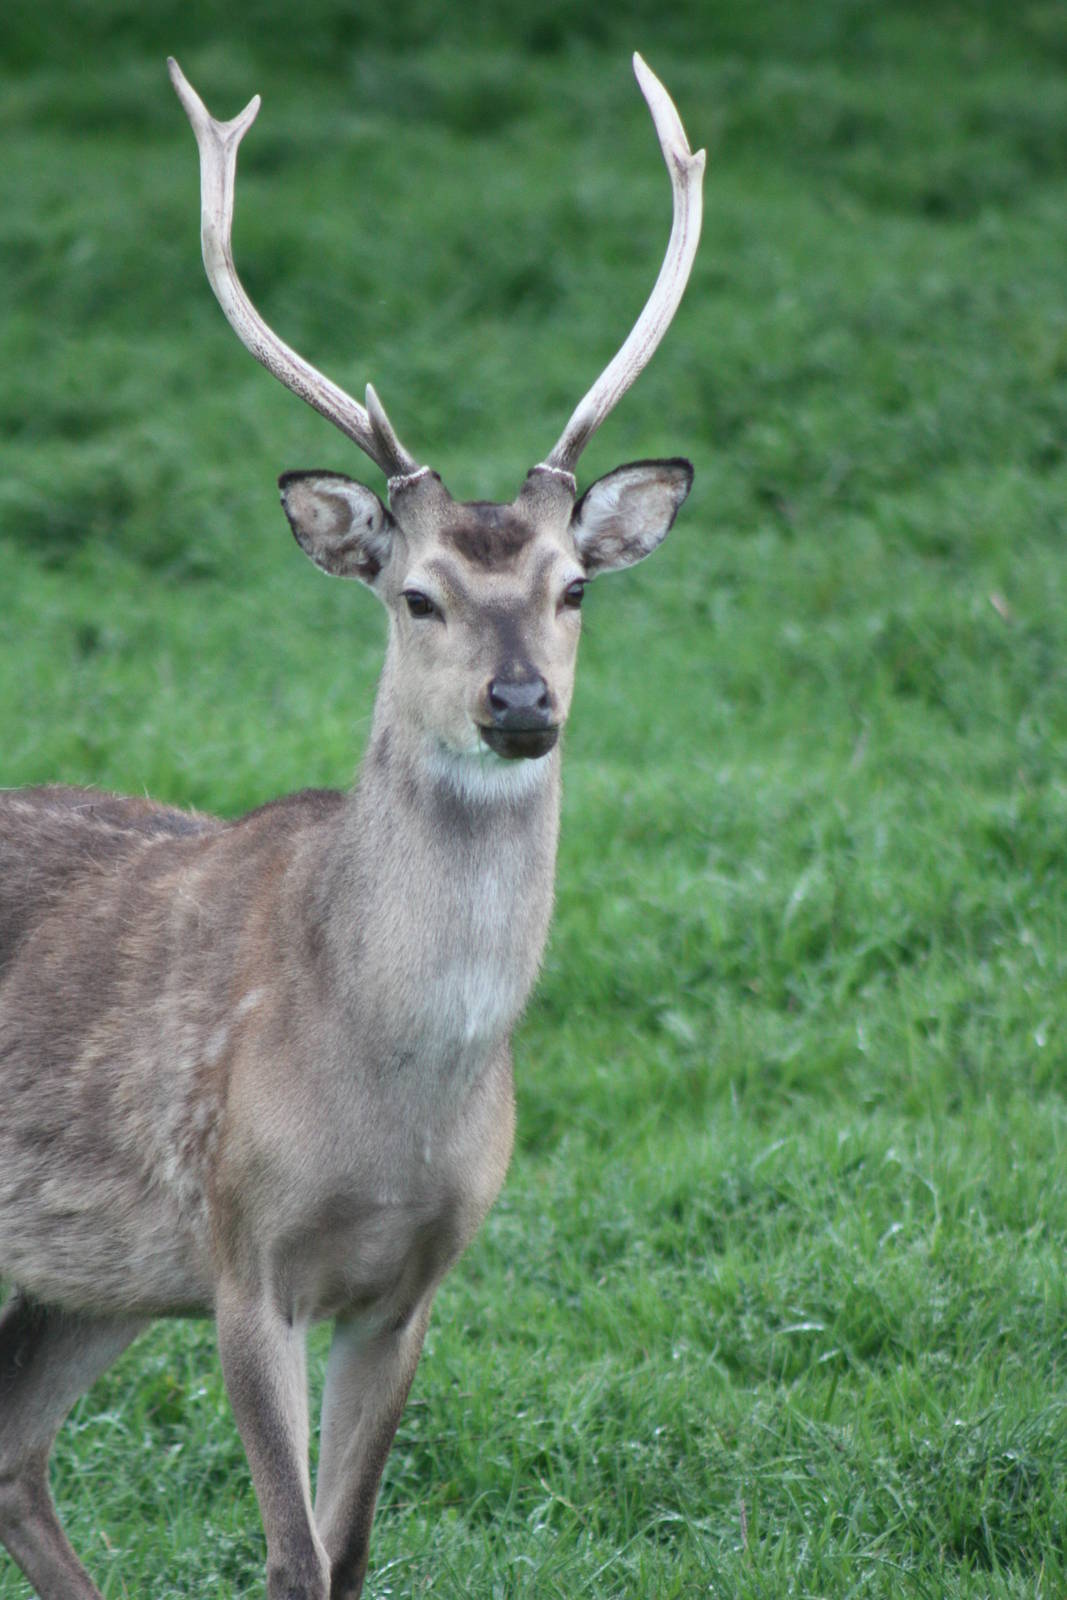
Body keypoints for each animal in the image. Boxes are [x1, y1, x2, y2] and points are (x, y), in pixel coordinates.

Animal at [0, 52, 704, 1600]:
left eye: (573, 586)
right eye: (416, 594)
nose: (520, 703)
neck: (389, 1092)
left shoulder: (412, 1285)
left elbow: (353, 1548)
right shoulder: (241, 1250)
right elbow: (291, 1556)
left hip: (90, 1274)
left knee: (9, 1450)